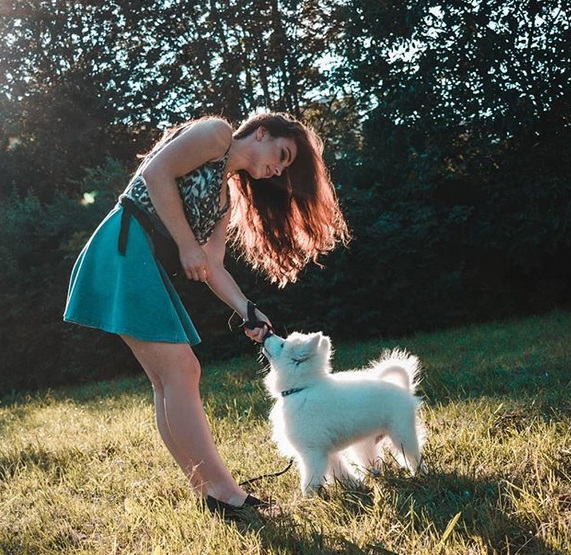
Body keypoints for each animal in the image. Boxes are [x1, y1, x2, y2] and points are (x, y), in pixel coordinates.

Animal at [262, 332, 426, 498]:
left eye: (282, 344)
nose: (267, 333)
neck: (300, 389)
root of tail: (403, 388)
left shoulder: (312, 452)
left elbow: (311, 479)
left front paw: (308, 499)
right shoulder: (326, 452)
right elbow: (341, 471)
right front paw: (355, 485)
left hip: (402, 434)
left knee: (414, 456)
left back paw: (420, 474)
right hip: (365, 444)